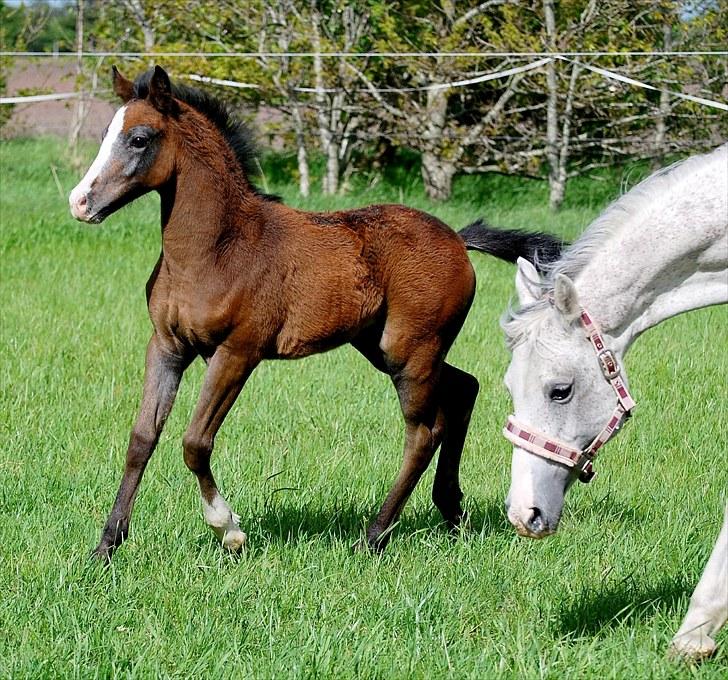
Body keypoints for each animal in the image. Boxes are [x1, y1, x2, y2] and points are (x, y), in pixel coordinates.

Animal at [69, 66, 564, 560]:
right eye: (105, 133)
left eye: (139, 139)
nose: (80, 202)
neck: (216, 249)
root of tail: (458, 240)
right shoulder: (168, 346)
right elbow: (141, 439)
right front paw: (106, 546)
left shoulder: (237, 352)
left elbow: (195, 442)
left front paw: (229, 530)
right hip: (384, 346)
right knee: (464, 388)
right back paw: (450, 510)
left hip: (410, 351)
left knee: (424, 432)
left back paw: (375, 536)